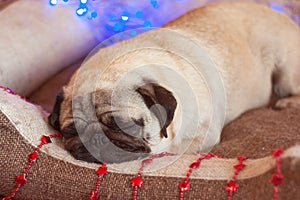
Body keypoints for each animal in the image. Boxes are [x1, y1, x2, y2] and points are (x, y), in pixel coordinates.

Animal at [48, 1, 300, 164]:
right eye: (70, 131)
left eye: (126, 125)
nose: (96, 140)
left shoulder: (202, 136)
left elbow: (175, 150)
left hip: (286, 75)